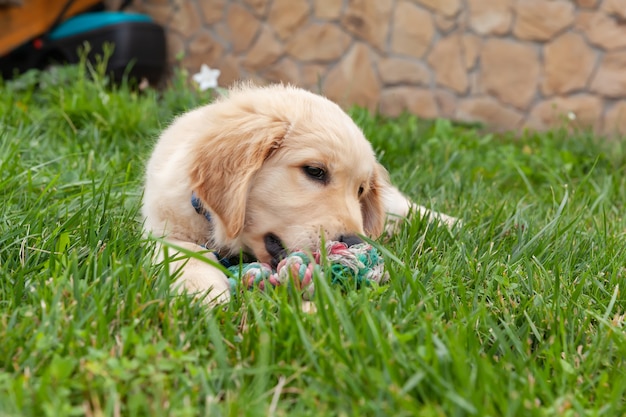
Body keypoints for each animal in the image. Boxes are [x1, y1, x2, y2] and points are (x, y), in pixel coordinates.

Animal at [140, 83, 454, 302]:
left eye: (360, 190)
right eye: (315, 171)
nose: (354, 242)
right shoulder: (160, 227)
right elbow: (186, 250)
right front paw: (202, 289)